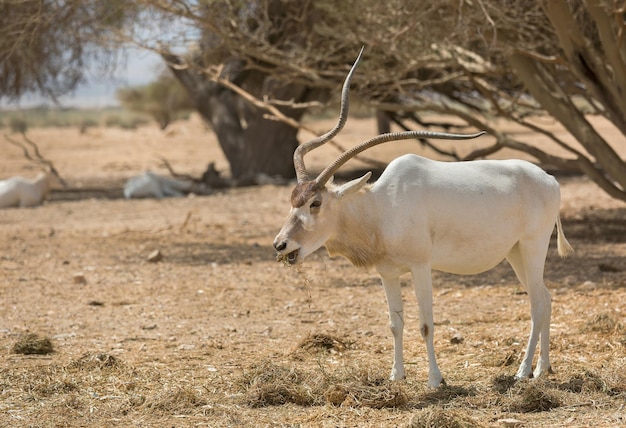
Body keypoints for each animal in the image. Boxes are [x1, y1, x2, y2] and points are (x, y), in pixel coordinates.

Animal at [270, 49, 572, 388]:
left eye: (316, 202)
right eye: (293, 200)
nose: (280, 245)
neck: (381, 207)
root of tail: (550, 179)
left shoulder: (421, 266)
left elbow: (426, 324)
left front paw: (435, 380)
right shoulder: (387, 274)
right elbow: (394, 324)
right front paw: (396, 376)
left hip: (533, 246)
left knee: (536, 304)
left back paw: (522, 372)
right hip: (515, 252)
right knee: (546, 298)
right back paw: (542, 368)